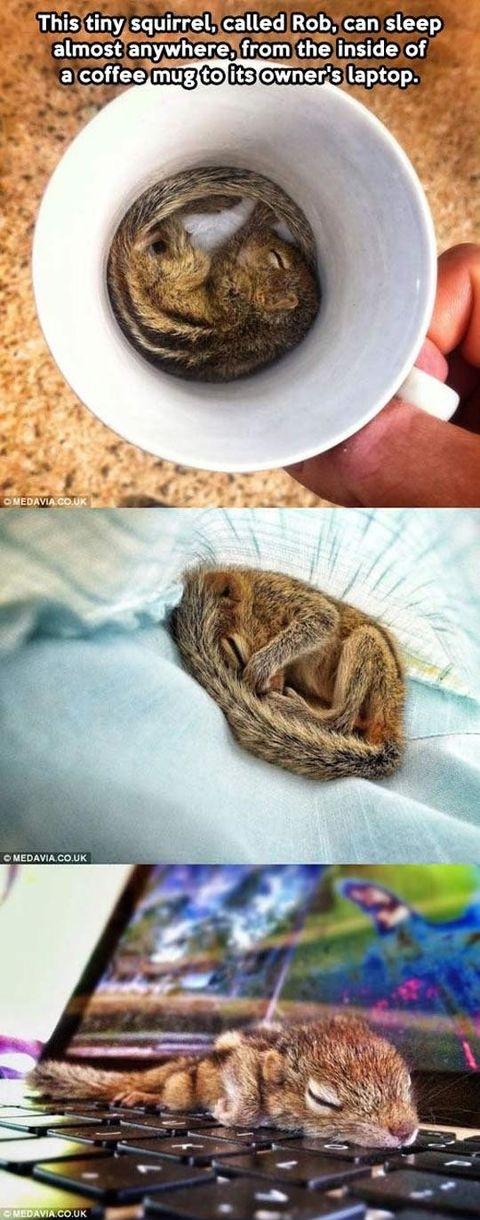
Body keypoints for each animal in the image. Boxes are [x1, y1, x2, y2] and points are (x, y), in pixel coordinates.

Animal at [29, 1017, 418, 1150]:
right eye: (322, 1099)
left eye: (407, 1083)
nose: (405, 1131)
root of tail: (188, 1062)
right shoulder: (243, 1061)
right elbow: (246, 1103)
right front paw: (225, 1111)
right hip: (181, 1088)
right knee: (169, 1090)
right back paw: (144, 1094)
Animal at [106, 166, 320, 382]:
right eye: (290, 253)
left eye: (277, 258)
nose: (272, 233)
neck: (261, 320)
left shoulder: (228, 281)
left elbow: (236, 242)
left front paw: (258, 218)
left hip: (191, 264)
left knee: (156, 237)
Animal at [170, 566, 405, 781]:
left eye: (235, 650)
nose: (267, 689)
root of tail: (394, 719)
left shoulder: (281, 594)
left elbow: (322, 618)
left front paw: (260, 666)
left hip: (367, 643)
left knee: (342, 721)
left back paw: (292, 707)